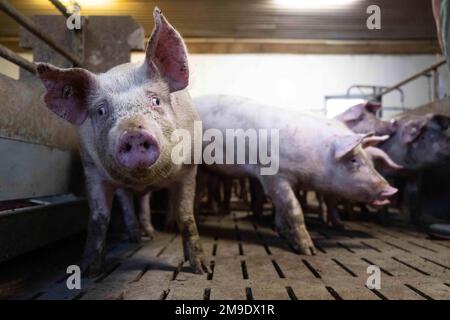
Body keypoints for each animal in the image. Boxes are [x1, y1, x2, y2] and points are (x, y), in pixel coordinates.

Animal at [35, 8, 207, 276]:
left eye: (156, 101)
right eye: (101, 111)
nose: (133, 132)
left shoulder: (189, 167)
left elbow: (185, 215)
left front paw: (201, 269)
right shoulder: (91, 169)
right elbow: (98, 218)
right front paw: (88, 270)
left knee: (145, 201)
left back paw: (151, 234)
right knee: (128, 202)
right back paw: (136, 237)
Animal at [194, 94, 398, 254]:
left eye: (369, 160)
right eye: (354, 160)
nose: (391, 190)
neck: (315, 156)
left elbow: (282, 207)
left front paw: (283, 233)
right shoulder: (273, 176)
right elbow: (294, 208)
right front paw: (309, 250)